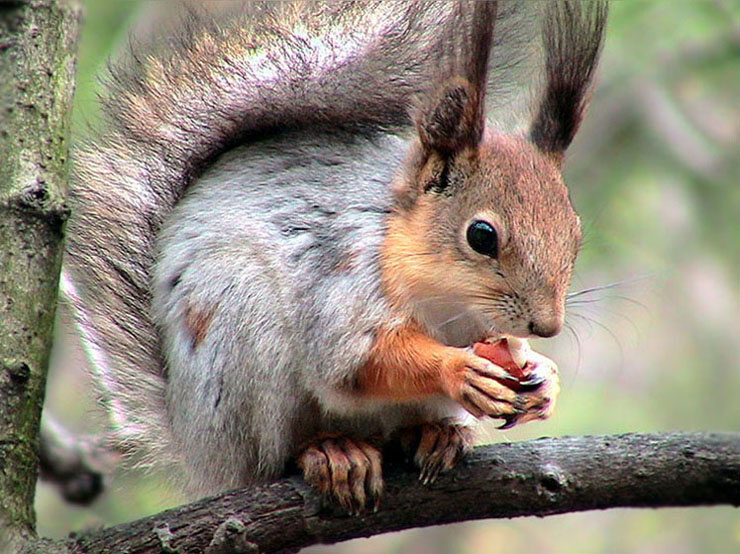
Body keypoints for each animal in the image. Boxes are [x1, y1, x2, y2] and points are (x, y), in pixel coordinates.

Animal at [63, 1, 607, 513]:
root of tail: (197, 446)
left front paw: (543, 376)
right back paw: (328, 451)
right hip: (240, 326)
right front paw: (457, 369)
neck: (447, 305)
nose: (547, 326)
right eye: (481, 235)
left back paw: (437, 432)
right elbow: (353, 361)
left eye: (576, 231)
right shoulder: (344, 272)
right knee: (273, 456)